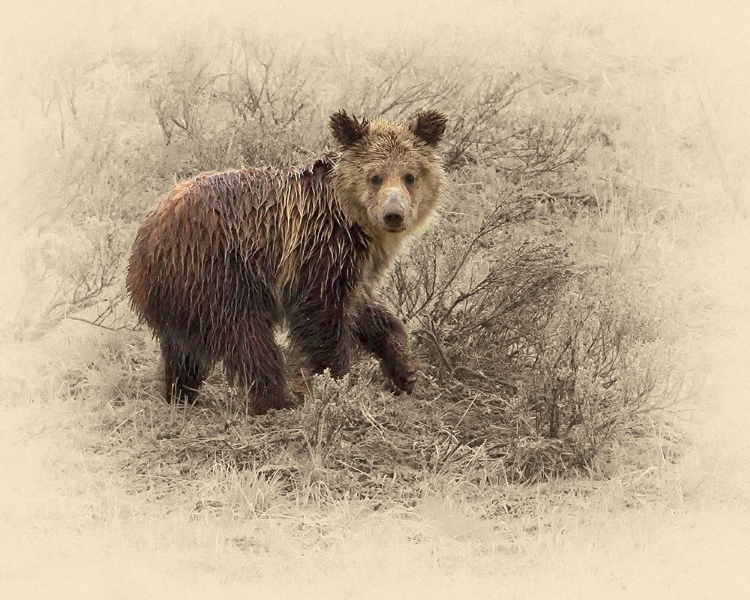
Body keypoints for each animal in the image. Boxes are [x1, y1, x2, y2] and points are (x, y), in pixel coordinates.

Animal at [126, 110, 450, 414]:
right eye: (375, 176)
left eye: (410, 176)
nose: (393, 214)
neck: (353, 222)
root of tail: (147, 235)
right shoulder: (317, 248)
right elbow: (322, 318)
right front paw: (335, 381)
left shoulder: (354, 265)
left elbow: (367, 313)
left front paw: (404, 371)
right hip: (216, 273)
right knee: (247, 338)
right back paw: (278, 399)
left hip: (180, 295)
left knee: (184, 351)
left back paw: (180, 393)